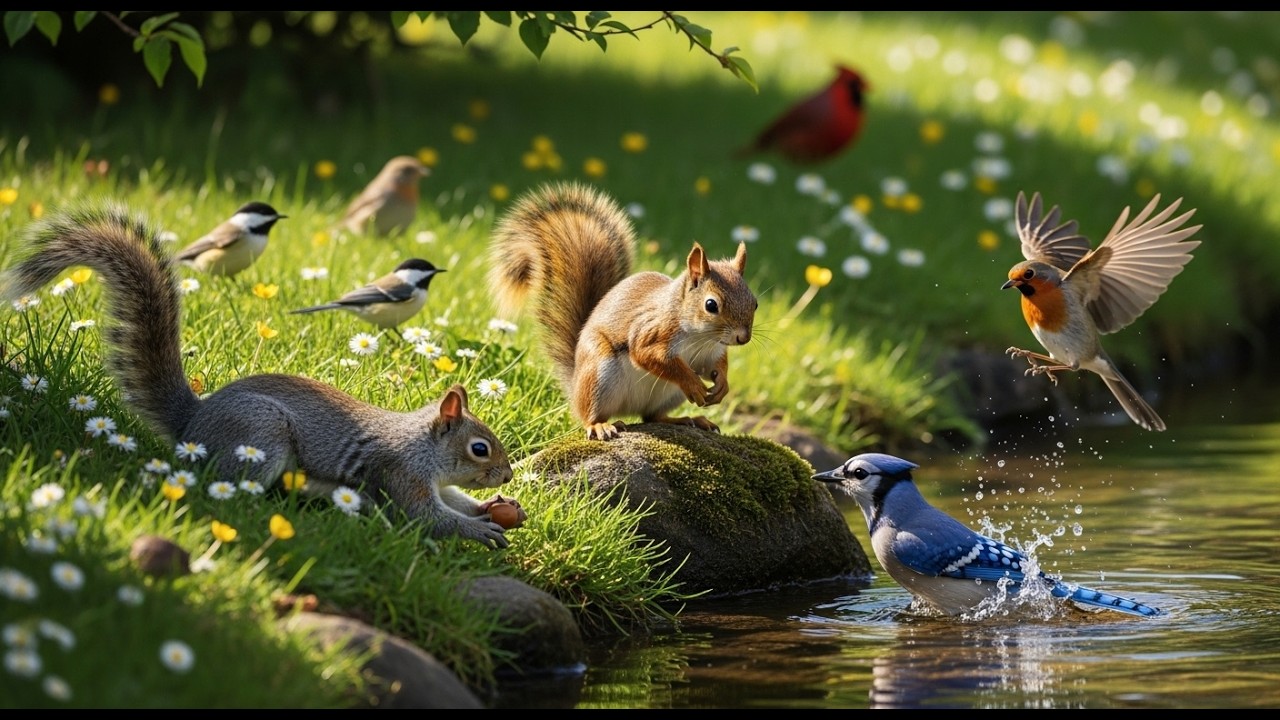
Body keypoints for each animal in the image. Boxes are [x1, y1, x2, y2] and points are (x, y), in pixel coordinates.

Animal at [0, 204, 518, 549]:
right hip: (262, 436)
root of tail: (193, 424)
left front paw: (492, 508)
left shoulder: (435, 481)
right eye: (480, 448)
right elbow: (428, 518)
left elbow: (454, 500)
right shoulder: (402, 474)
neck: (423, 446)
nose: (509, 474)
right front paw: (480, 529)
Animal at [487, 181, 757, 440]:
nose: (743, 338)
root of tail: (575, 384)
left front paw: (722, 385)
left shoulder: (709, 353)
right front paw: (693, 383)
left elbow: (716, 366)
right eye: (711, 305)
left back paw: (686, 420)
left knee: (652, 416)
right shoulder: (651, 331)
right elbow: (649, 355)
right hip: (599, 374)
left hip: (668, 395)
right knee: (591, 415)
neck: (700, 337)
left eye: (755, 303)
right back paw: (599, 426)